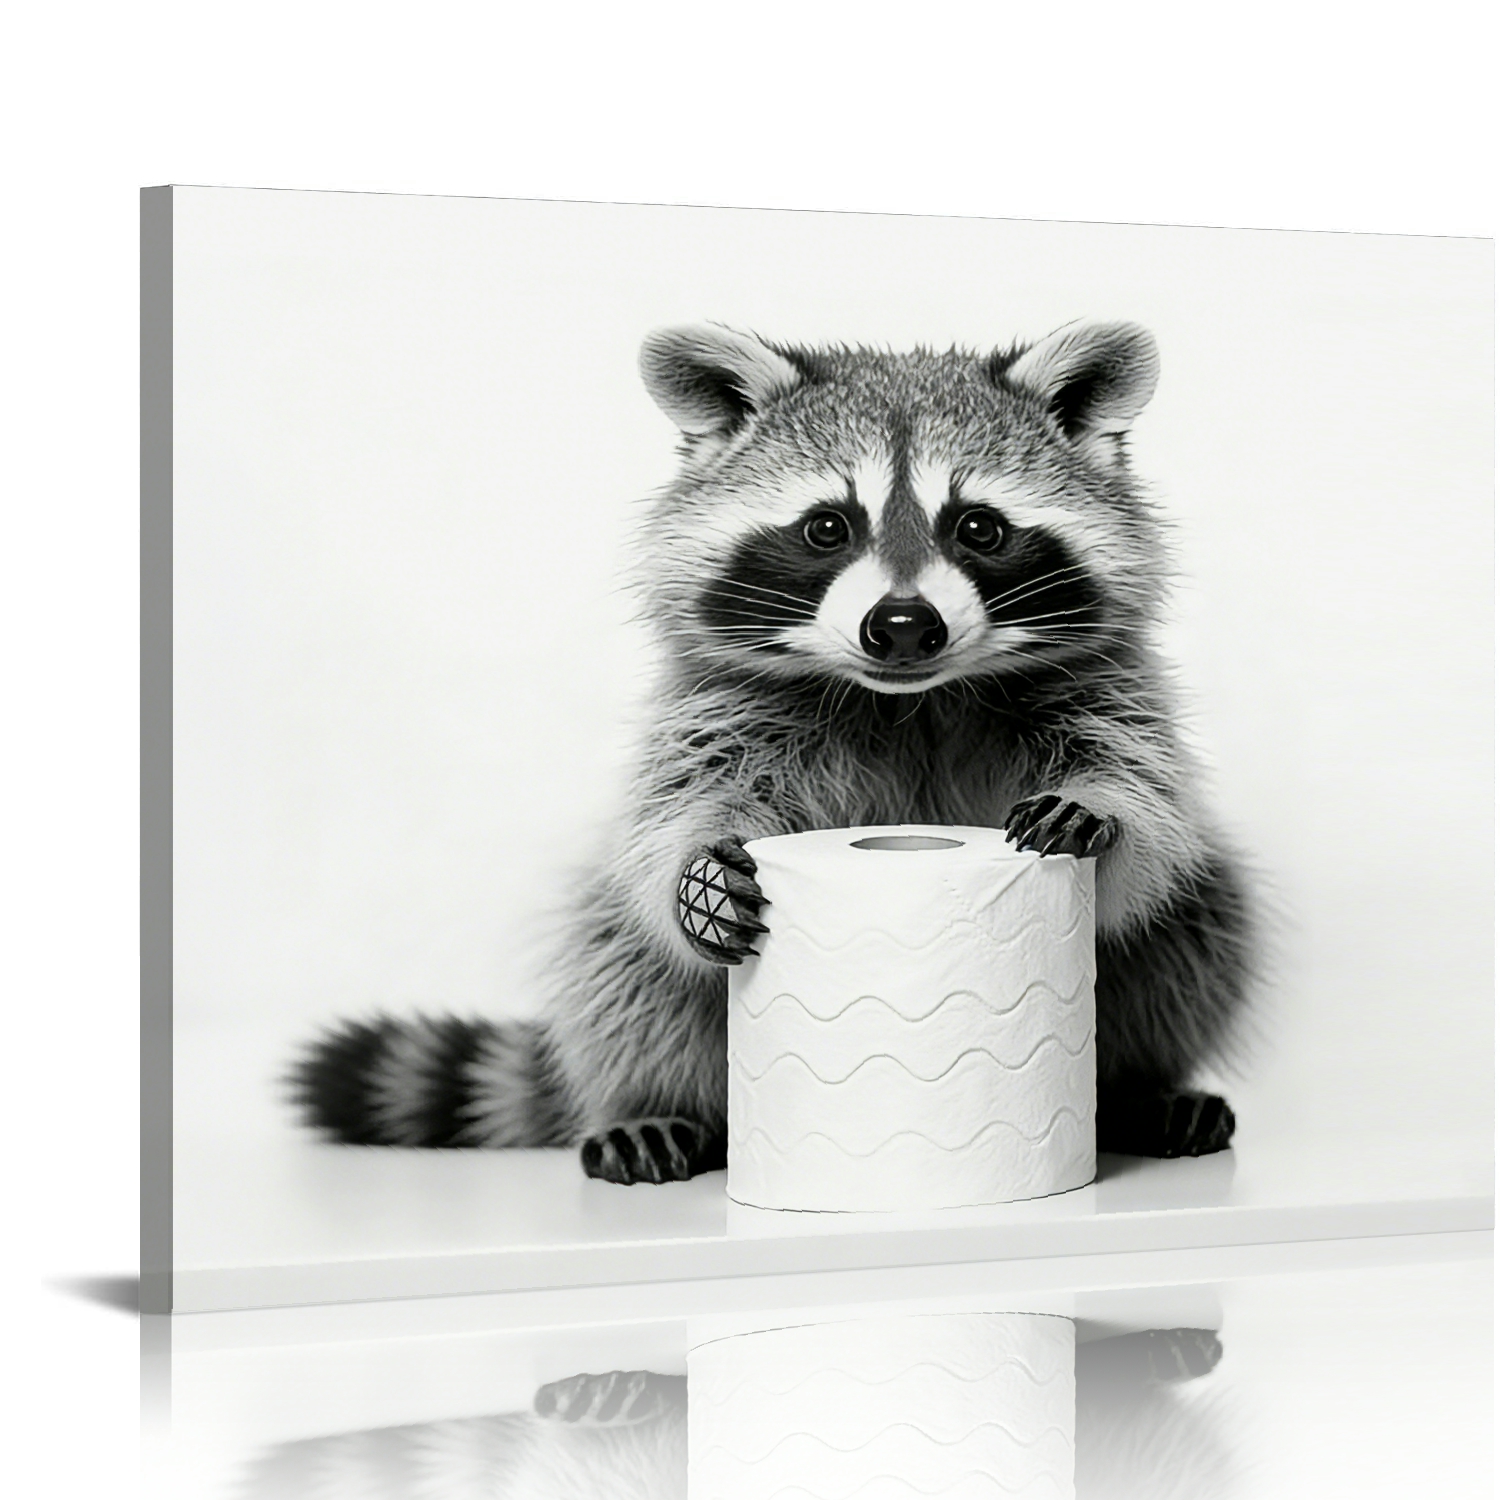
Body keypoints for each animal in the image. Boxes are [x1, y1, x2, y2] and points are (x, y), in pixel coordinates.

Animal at [292, 319, 1255, 1184]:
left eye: (978, 528)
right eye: (827, 528)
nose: (902, 626)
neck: (909, 700)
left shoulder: (1104, 690)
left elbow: (1146, 827)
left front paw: (1102, 812)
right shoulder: (720, 710)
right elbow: (676, 816)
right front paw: (695, 875)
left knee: (1203, 923)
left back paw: (1133, 1088)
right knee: (617, 959)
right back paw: (647, 1100)